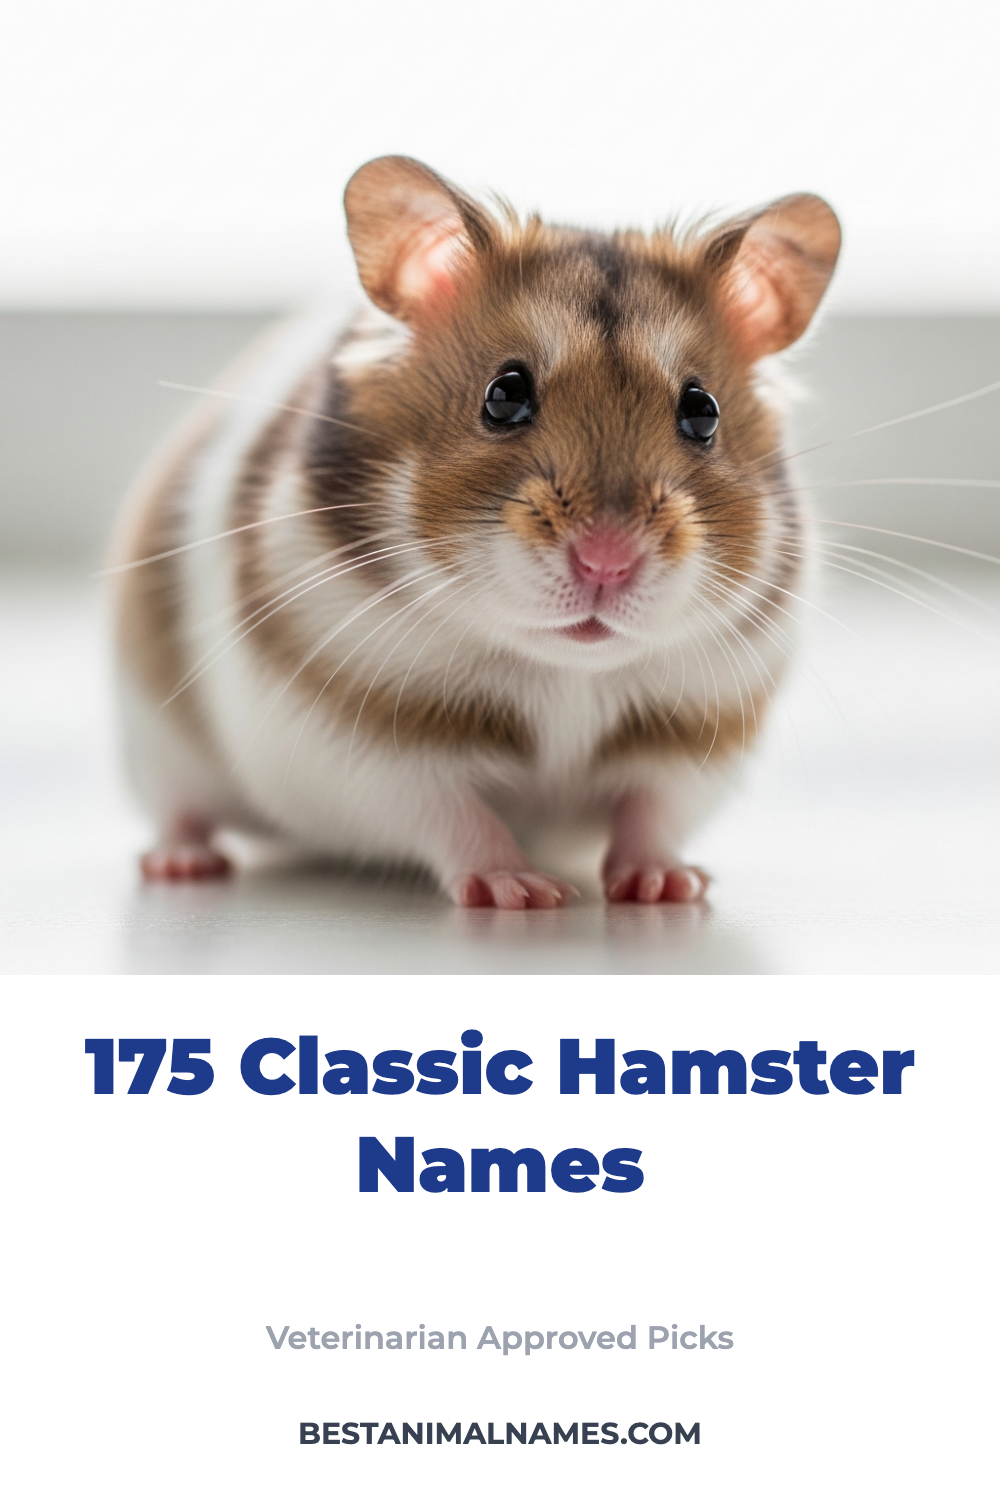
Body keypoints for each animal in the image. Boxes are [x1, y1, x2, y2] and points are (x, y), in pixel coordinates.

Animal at [112, 155, 840, 908]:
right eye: (504, 394)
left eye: (703, 411)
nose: (605, 563)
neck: (563, 668)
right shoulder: (364, 746)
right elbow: (452, 814)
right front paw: (524, 893)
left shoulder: (694, 736)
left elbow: (652, 811)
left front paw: (669, 887)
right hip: (158, 745)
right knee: (179, 811)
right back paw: (181, 866)